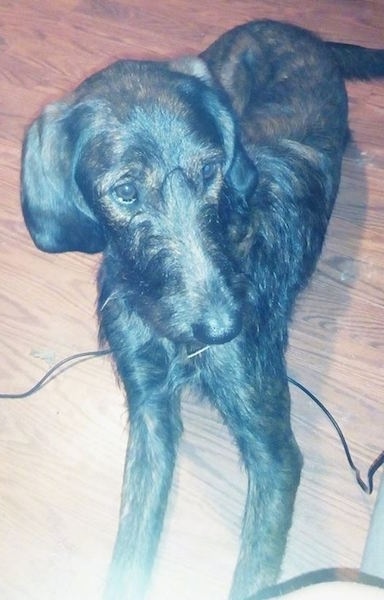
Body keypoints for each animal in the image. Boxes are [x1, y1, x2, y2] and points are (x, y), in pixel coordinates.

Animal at [20, 18, 384, 600]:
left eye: (212, 169)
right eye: (125, 192)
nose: (225, 328)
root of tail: (289, 27)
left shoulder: (274, 451)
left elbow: (255, 573)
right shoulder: (148, 409)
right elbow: (132, 542)